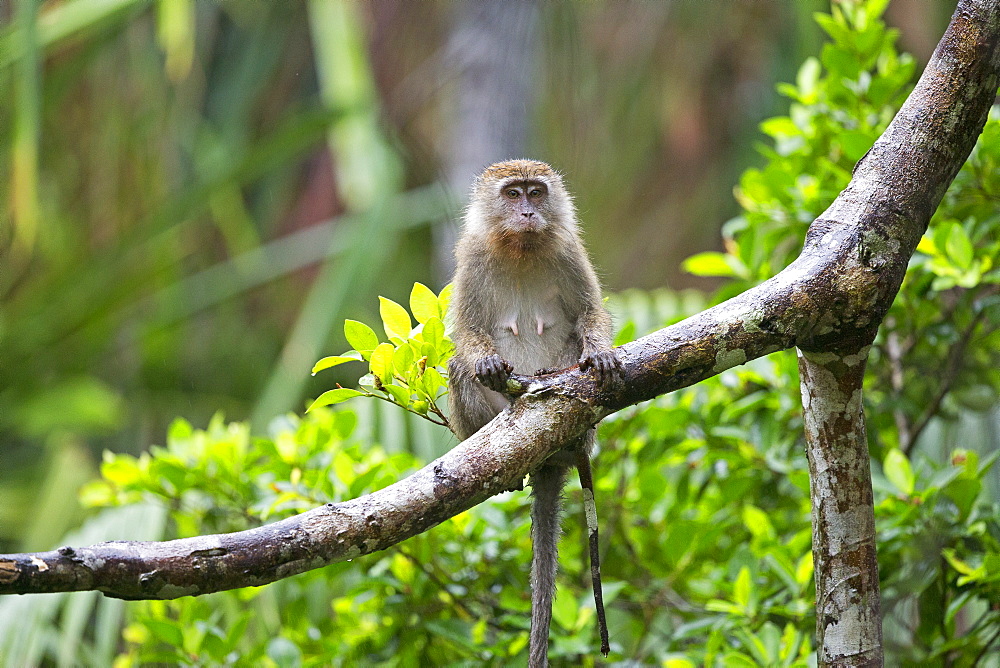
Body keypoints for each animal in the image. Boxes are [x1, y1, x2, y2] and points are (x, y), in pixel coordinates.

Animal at [450, 160, 620, 668]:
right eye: (512, 194)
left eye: (536, 193)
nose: (527, 212)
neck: (520, 248)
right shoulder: (471, 255)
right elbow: (465, 333)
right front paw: (484, 363)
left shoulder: (568, 249)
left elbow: (590, 314)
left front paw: (599, 353)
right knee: (458, 367)